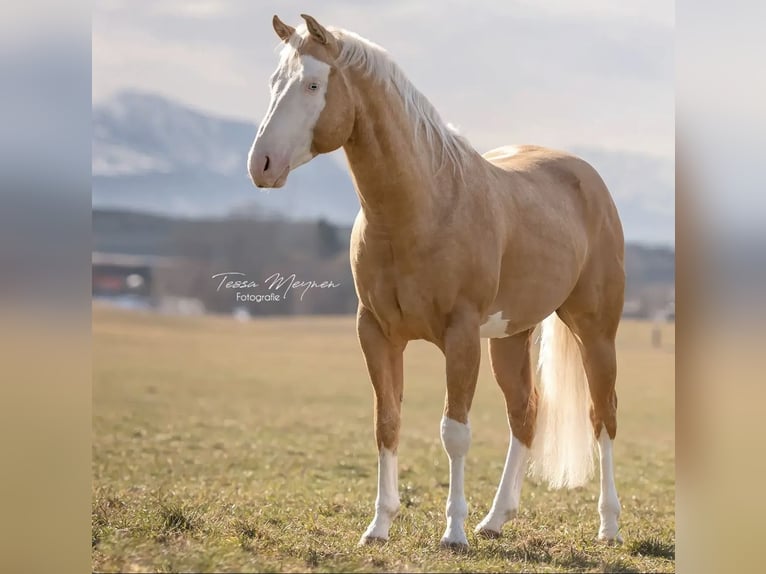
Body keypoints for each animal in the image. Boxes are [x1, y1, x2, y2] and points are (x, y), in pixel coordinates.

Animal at [249, 14, 628, 552]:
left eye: (314, 85)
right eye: (274, 82)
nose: (260, 165)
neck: (422, 208)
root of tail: (585, 176)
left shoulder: (460, 336)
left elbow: (455, 432)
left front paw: (453, 532)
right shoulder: (376, 333)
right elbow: (387, 422)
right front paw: (379, 527)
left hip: (594, 330)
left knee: (603, 414)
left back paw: (608, 526)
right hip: (511, 336)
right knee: (525, 414)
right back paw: (495, 520)